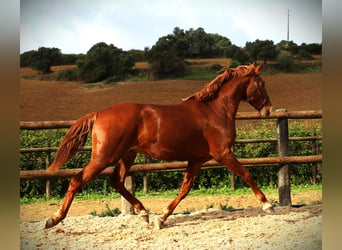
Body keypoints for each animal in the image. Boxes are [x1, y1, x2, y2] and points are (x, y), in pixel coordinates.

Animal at [44, 62, 274, 229]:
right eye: (262, 83)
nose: (268, 110)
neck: (215, 110)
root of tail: (99, 113)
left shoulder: (197, 160)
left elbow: (184, 189)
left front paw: (161, 218)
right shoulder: (223, 154)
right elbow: (247, 174)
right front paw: (267, 205)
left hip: (127, 155)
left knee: (116, 181)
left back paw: (144, 213)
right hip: (104, 157)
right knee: (77, 180)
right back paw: (54, 219)